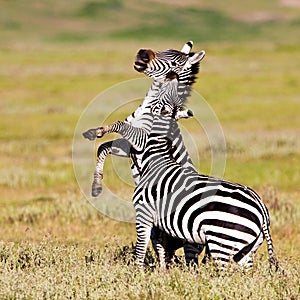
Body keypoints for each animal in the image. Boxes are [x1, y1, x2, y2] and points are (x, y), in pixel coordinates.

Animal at [84, 42, 206, 268]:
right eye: (163, 50)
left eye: (174, 64)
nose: (142, 53)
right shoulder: (129, 147)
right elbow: (103, 147)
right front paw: (96, 186)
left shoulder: (141, 141)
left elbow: (117, 125)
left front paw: (98, 131)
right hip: (158, 229)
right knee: (164, 252)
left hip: (189, 236)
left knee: (190, 260)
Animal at [88, 71, 278, 270]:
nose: (173, 74)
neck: (156, 157)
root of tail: (262, 211)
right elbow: (159, 246)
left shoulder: (143, 211)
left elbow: (141, 248)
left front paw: (137, 273)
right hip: (245, 249)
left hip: (221, 241)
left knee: (218, 271)